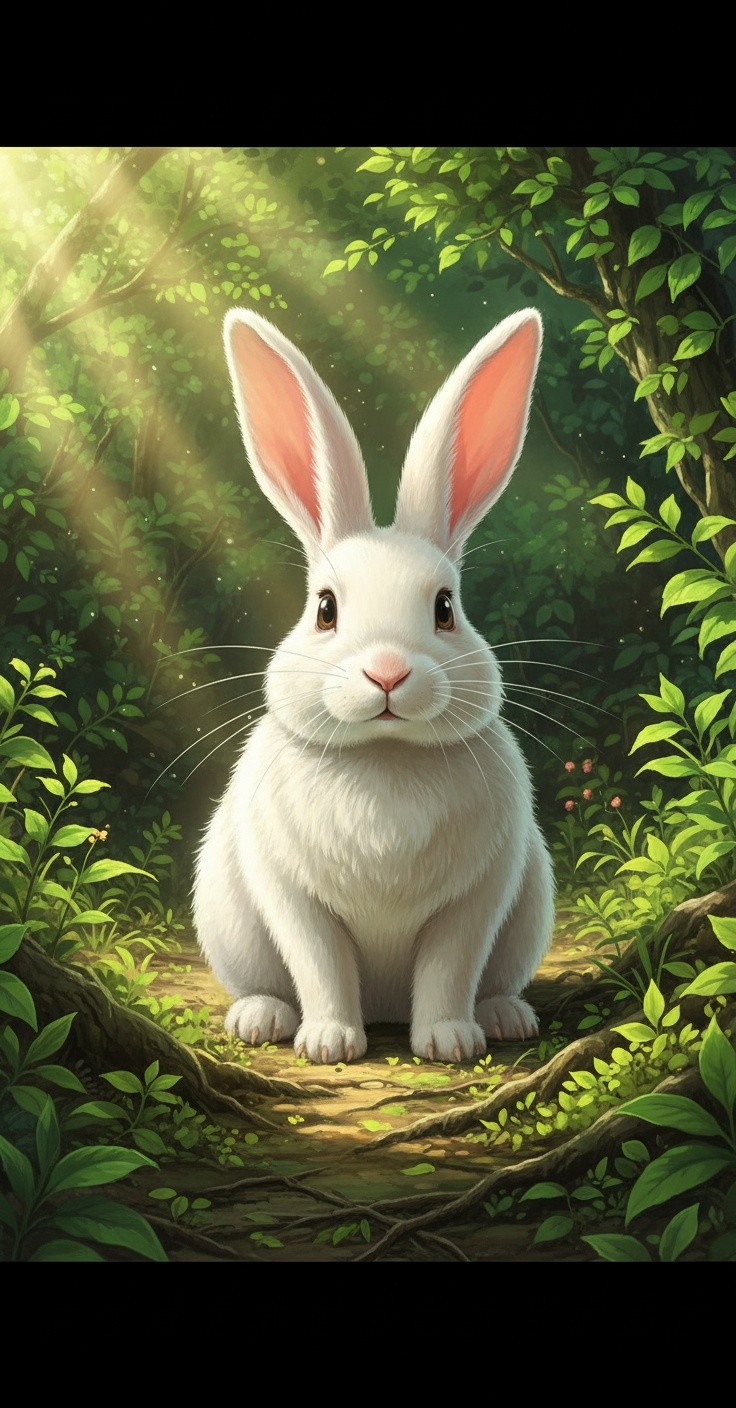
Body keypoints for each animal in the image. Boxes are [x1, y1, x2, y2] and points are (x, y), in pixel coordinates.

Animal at [192, 306, 555, 1064]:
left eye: (445, 608)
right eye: (325, 609)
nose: (387, 672)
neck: (384, 760)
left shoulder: (476, 899)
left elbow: (450, 967)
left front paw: (448, 1041)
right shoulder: (294, 898)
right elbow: (321, 964)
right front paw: (330, 1042)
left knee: (490, 980)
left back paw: (505, 1017)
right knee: (267, 983)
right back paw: (261, 1019)